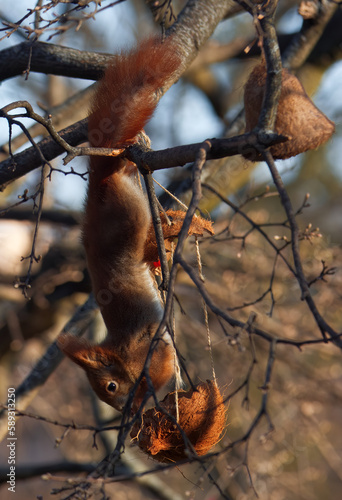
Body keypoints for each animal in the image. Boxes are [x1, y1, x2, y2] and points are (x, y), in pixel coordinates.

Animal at [58, 37, 182, 414]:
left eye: (110, 386)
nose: (120, 408)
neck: (121, 355)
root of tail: (98, 188)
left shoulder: (147, 349)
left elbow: (161, 367)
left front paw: (141, 401)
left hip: (129, 218)